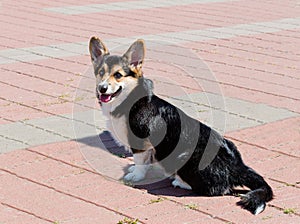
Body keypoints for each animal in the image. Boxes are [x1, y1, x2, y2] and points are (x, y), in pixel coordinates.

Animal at [88, 37, 274, 215]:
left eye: (118, 75)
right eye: (101, 73)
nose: (102, 88)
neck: (129, 99)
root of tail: (237, 167)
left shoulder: (140, 143)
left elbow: (140, 162)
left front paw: (136, 176)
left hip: (184, 158)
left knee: (217, 189)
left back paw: (180, 182)